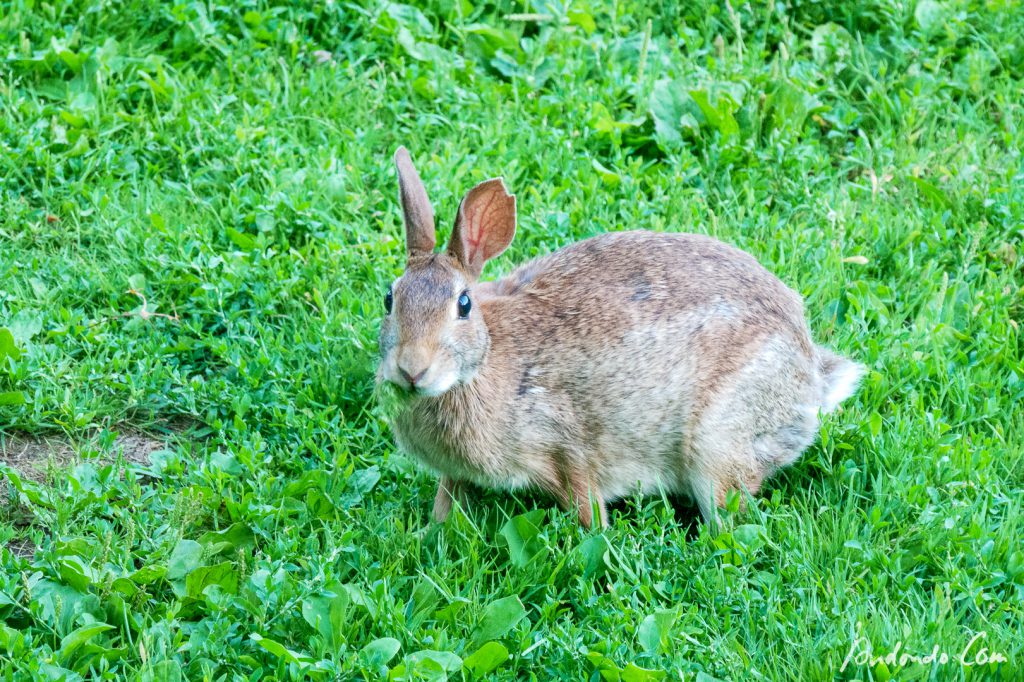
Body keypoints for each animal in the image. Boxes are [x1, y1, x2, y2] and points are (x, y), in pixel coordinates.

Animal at [378, 146, 864, 528]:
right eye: (389, 298)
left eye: (463, 304)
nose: (412, 370)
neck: (486, 359)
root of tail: (810, 378)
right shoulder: (456, 473)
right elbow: (447, 500)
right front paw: (432, 533)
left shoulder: (566, 445)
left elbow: (586, 505)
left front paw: (595, 539)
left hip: (718, 441)